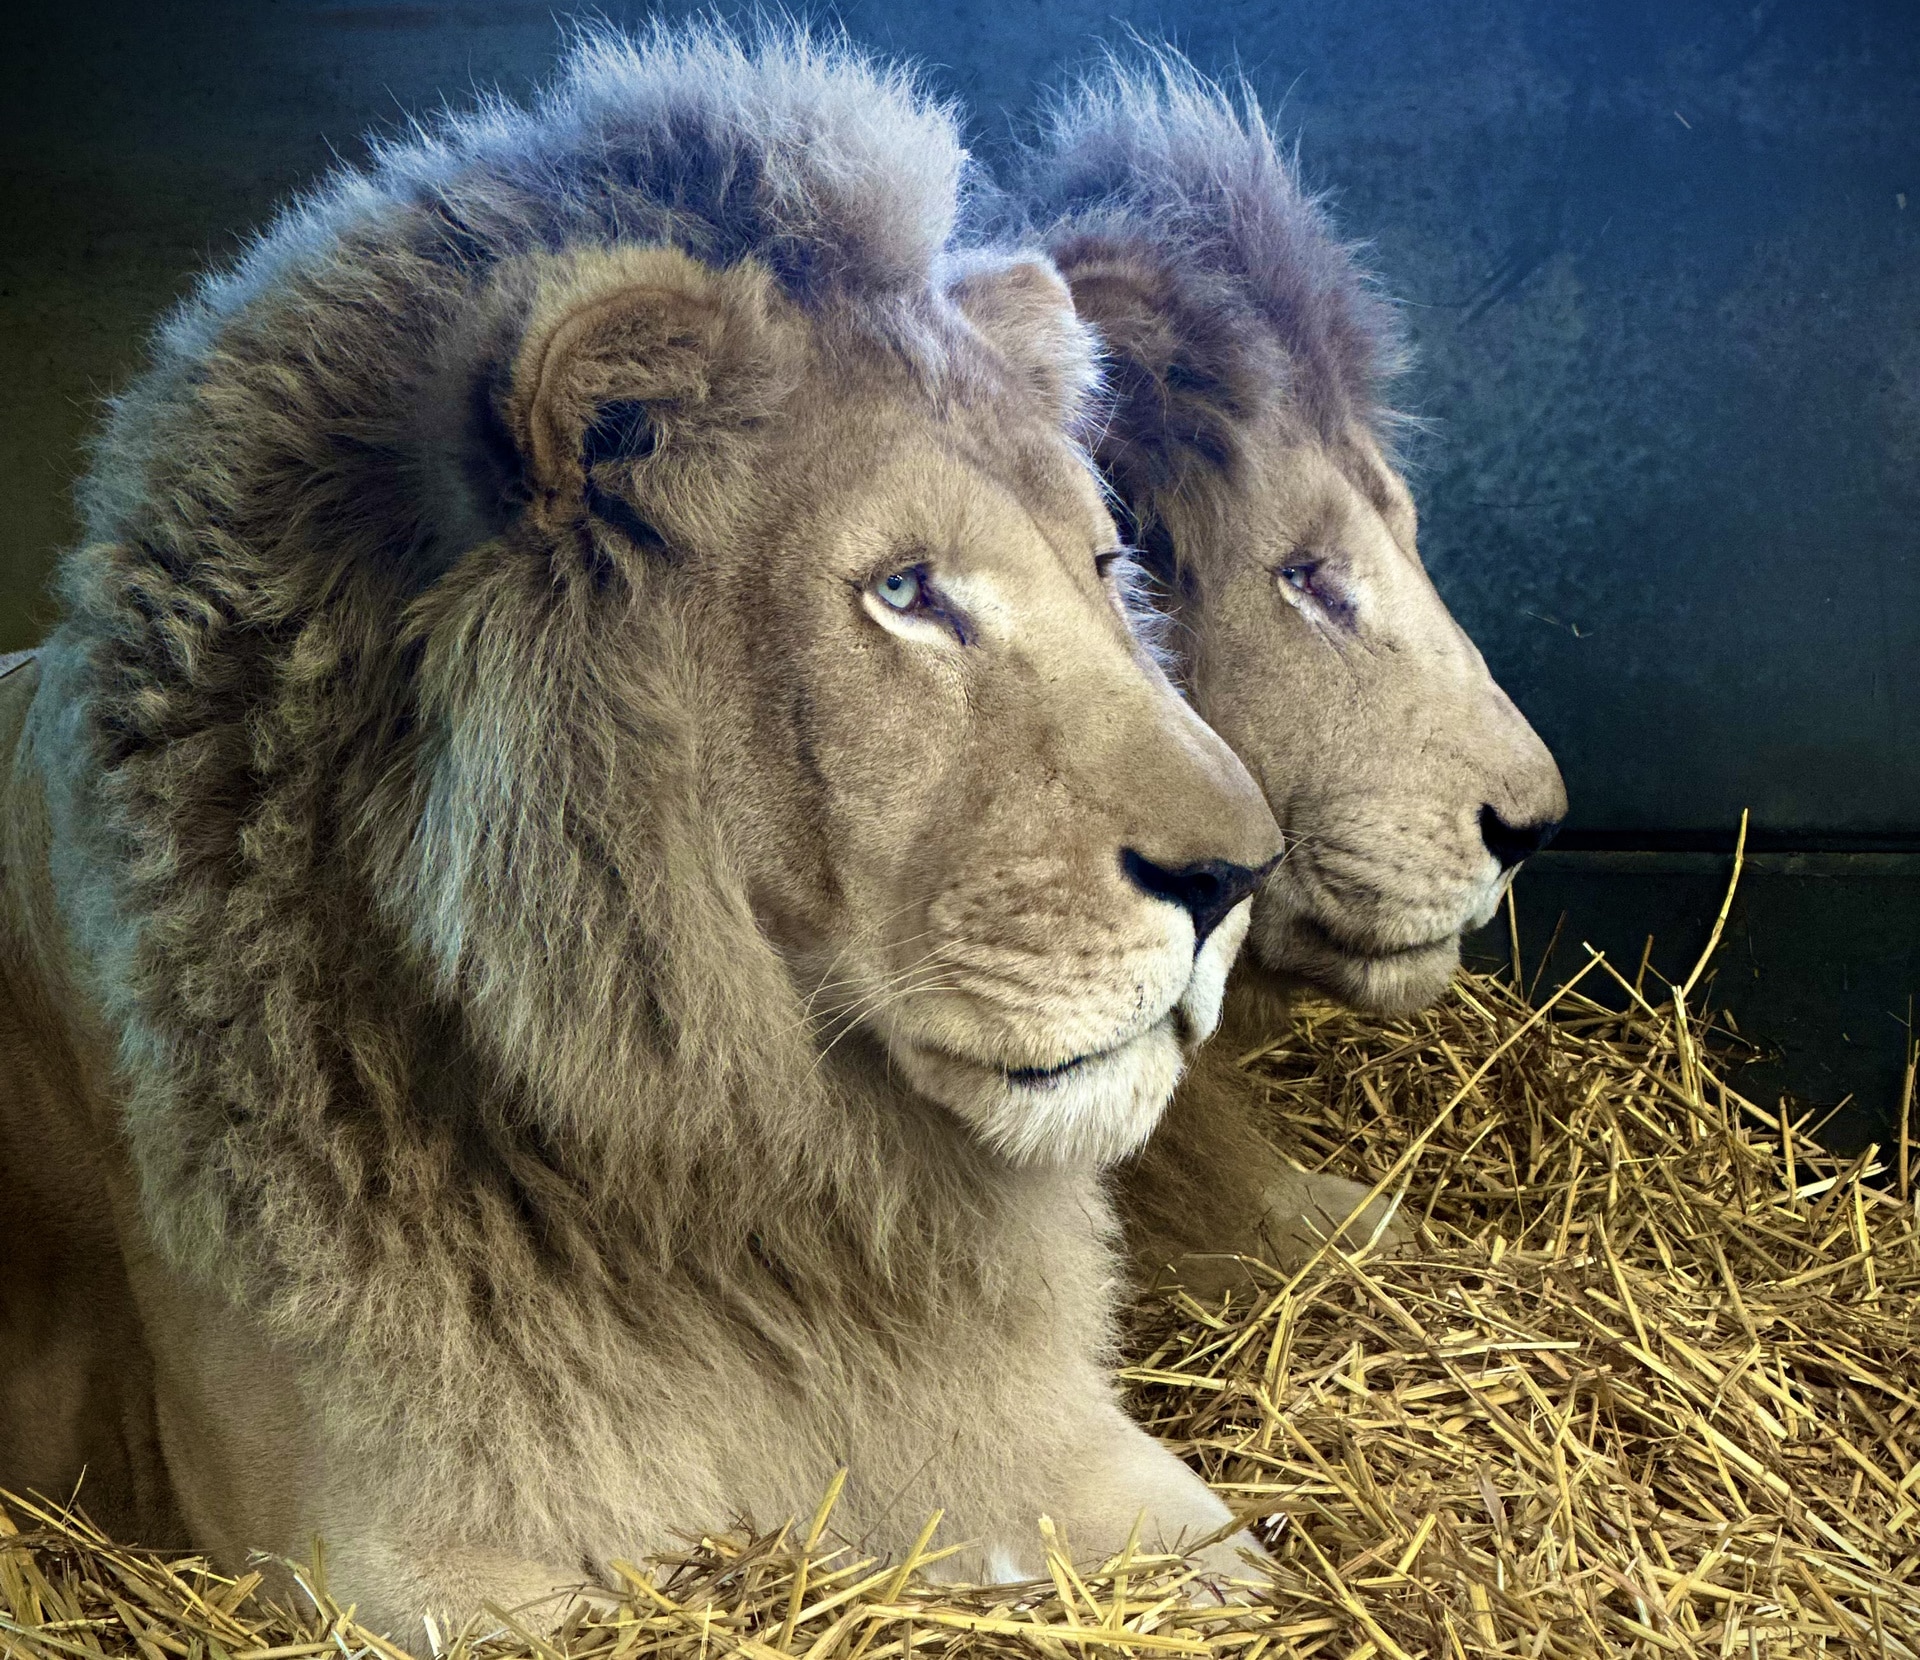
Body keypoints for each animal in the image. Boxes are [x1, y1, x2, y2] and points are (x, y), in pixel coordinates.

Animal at [3, 29, 1290, 1642]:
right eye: (906, 590)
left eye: (1109, 564)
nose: (1239, 877)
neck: (745, 1179)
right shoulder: (389, 1556)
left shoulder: (1053, 1440)